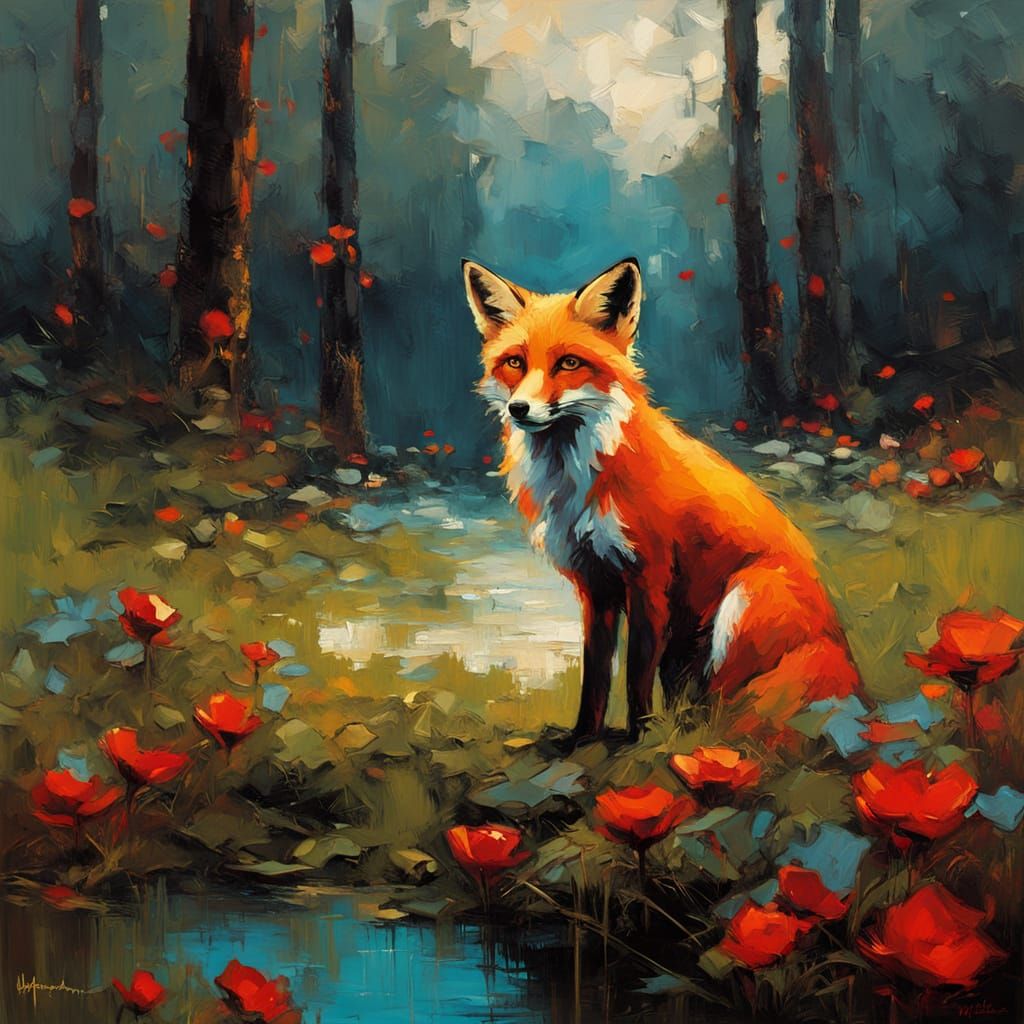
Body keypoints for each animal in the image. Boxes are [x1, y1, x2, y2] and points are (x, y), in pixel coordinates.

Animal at [464, 256, 863, 746]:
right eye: (515, 363)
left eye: (569, 363)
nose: (519, 409)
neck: (578, 480)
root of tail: (852, 675)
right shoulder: (595, 585)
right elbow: (596, 674)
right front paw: (583, 738)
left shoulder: (649, 579)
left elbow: (636, 673)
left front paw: (640, 737)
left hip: (740, 604)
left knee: (731, 710)